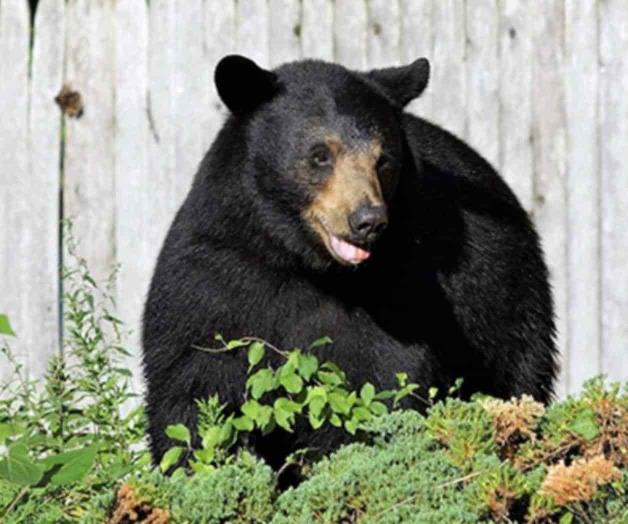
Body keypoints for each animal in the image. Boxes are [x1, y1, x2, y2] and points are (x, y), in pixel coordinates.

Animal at [141, 55, 556, 468]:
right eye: (320, 155)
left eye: (383, 160)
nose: (368, 220)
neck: (301, 260)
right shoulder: (214, 277)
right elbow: (191, 389)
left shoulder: (398, 297)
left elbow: (377, 382)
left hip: (505, 298)